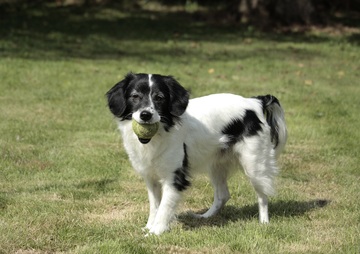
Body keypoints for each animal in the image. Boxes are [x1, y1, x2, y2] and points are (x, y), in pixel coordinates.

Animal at [106, 72, 286, 235]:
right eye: (135, 96)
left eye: (159, 98)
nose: (145, 115)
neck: (160, 133)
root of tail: (255, 102)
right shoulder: (150, 176)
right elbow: (155, 205)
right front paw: (149, 227)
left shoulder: (174, 178)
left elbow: (164, 207)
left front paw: (155, 232)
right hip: (216, 165)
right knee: (223, 195)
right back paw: (205, 217)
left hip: (254, 165)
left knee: (263, 196)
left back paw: (264, 222)